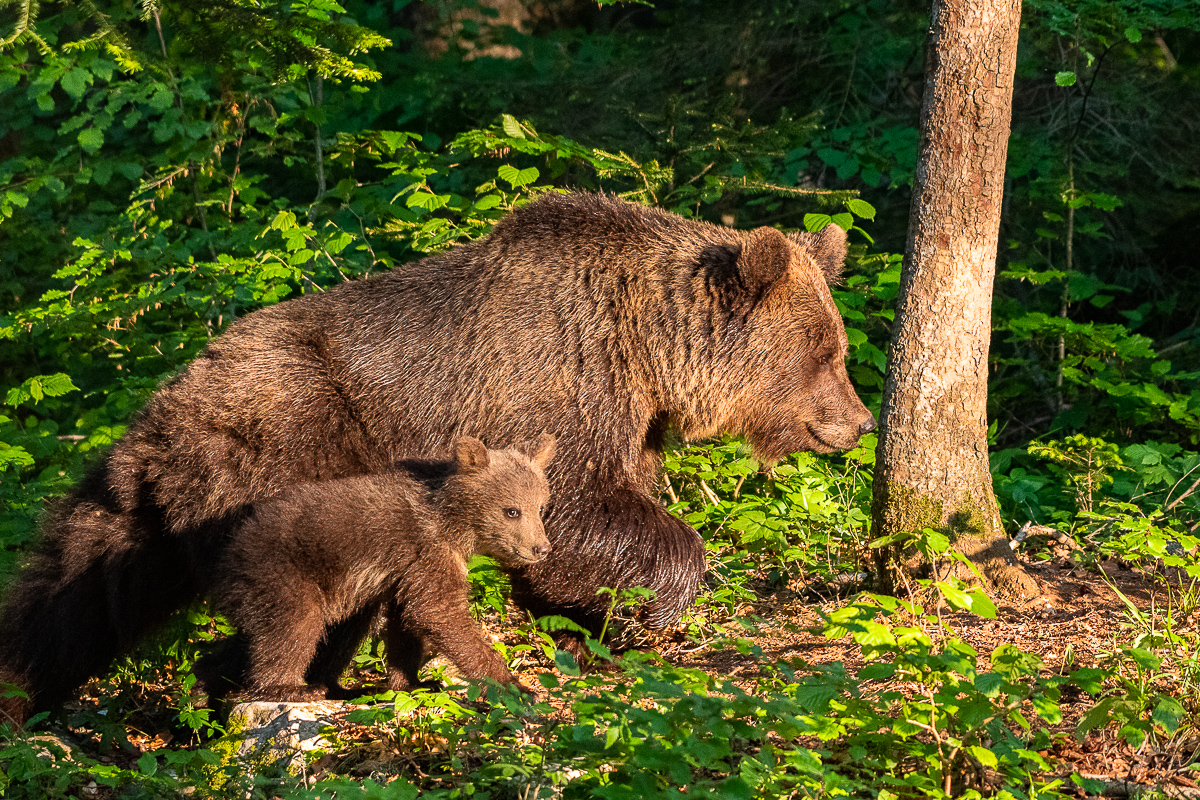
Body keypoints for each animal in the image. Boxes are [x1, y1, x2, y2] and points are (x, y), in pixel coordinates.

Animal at [0, 190, 873, 724]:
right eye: (824, 352)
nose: (859, 423)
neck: (647, 347)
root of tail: (165, 408)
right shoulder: (553, 381)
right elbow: (583, 510)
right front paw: (634, 610)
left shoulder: (630, 416)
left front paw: (586, 619)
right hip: (295, 452)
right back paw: (248, 680)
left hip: (148, 503)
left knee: (76, 588)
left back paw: (28, 687)